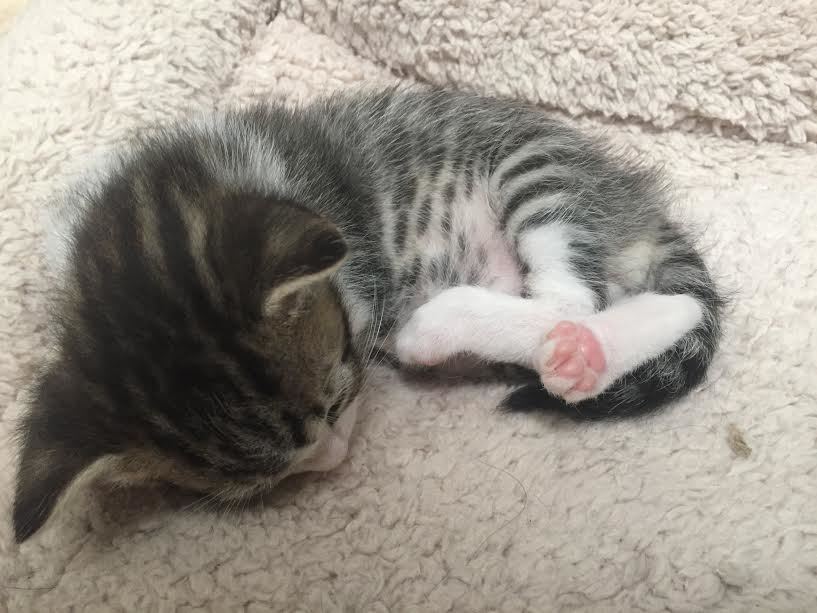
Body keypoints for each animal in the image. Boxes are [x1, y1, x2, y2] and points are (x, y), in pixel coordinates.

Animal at [14, 85, 720, 540]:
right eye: (260, 483)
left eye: (334, 404)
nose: (332, 458)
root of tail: (637, 207)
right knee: (655, 306)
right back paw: (590, 350)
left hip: (533, 166)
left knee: (570, 298)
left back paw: (456, 328)